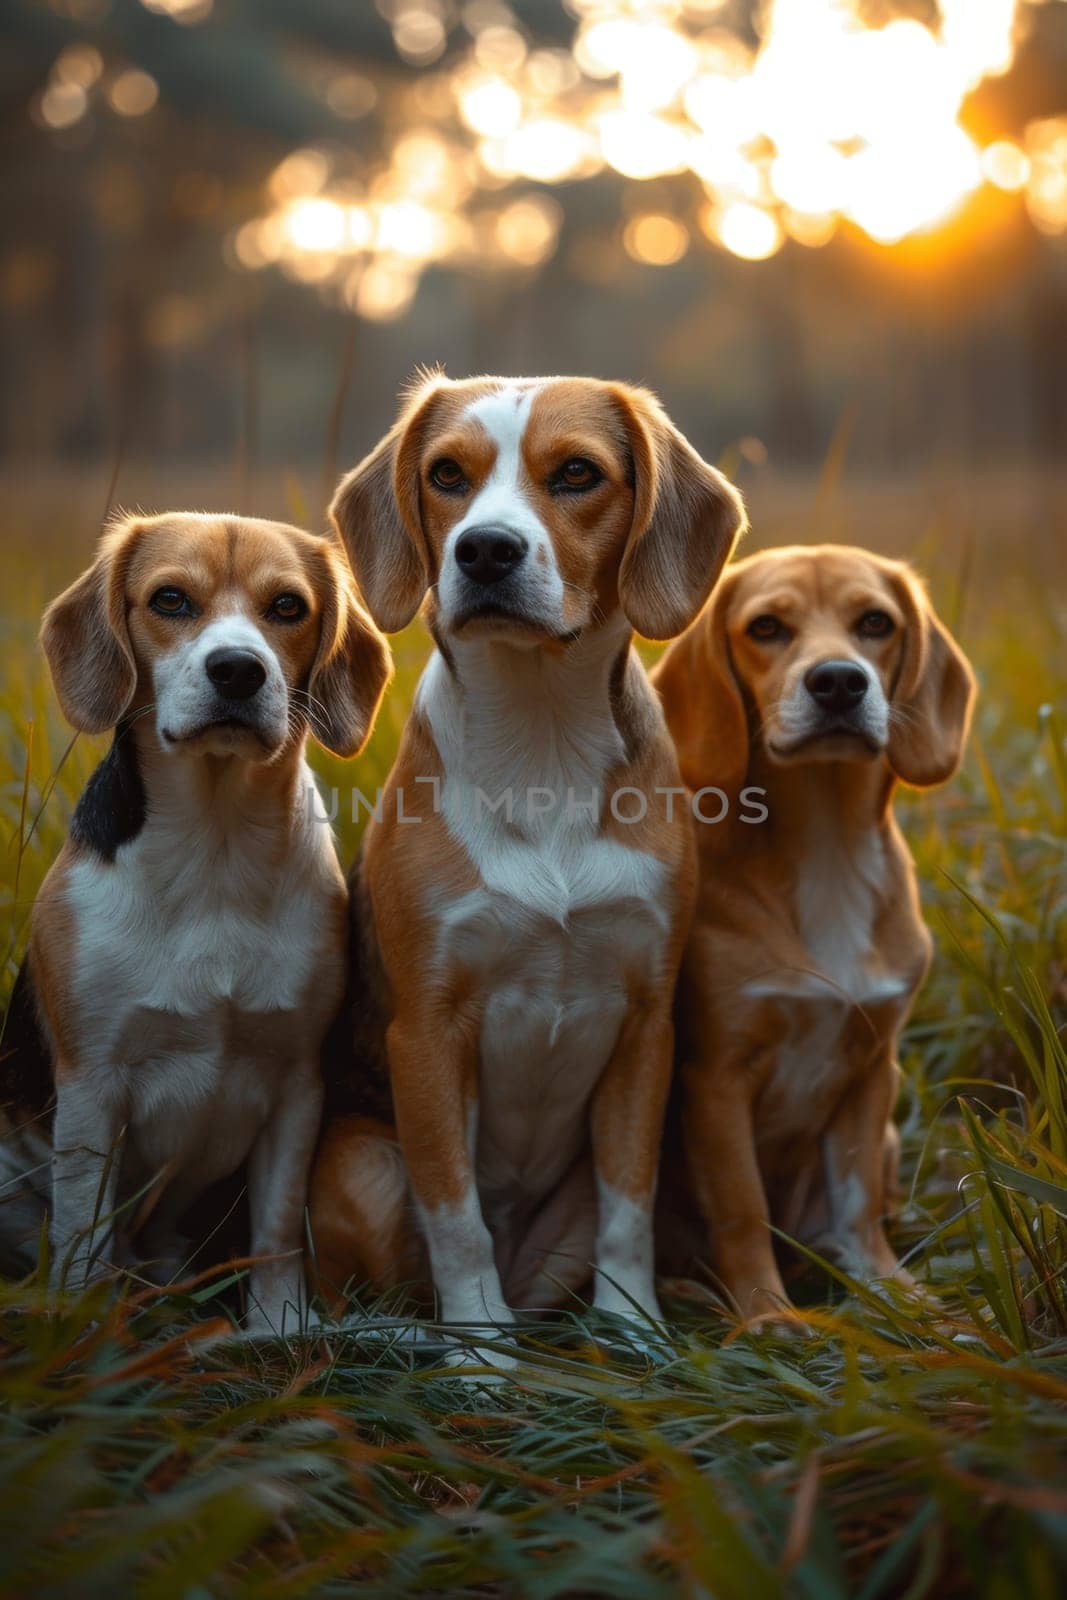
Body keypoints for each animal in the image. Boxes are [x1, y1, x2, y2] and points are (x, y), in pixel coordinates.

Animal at [1, 518, 388, 1331]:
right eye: (170, 599)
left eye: (288, 606)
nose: (237, 670)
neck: (216, 851)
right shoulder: (92, 1087)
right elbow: (82, 1228)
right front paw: (84, 1326)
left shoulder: (295, 1083)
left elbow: (278, 1226)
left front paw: (276, 1327)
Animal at [307, 377, 742, 1363]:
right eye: (446, 475)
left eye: (577, 472)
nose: (485, 550)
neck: (541, 737)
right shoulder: (427, 1034)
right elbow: (456, 1218)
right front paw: (478, 1359)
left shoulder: (645, 1023)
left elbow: (630, 1208)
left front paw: (634, 1330)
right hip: (361, 1164)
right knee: (376, 1293)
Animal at [652, 544, 979, 1318]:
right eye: (766, 627)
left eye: (875, 622)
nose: (837, 681)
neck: (826, 842)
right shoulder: (717, 1079)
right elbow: (740, 1209)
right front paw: (768, 1315)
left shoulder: (870, 1067)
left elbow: (856, 1206)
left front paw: (892, 1294)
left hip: (887, 1130)